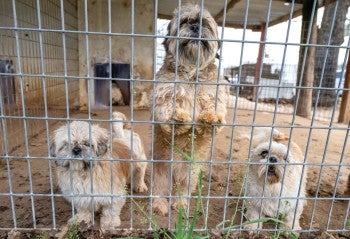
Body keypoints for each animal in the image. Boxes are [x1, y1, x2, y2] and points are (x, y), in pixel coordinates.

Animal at [152, 4, 228, 217]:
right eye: (185, 22)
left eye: (205, 24)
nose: (195, 27)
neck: (192, 76)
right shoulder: (165, 93)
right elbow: (167, 107)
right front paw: (177, 117)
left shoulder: (215, 94)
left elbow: (213, 108)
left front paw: (211, 118)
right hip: (161, 173)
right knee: (159, 190)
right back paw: (159, 205)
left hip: (190, 174)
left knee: (183, 191)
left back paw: (180, 204)